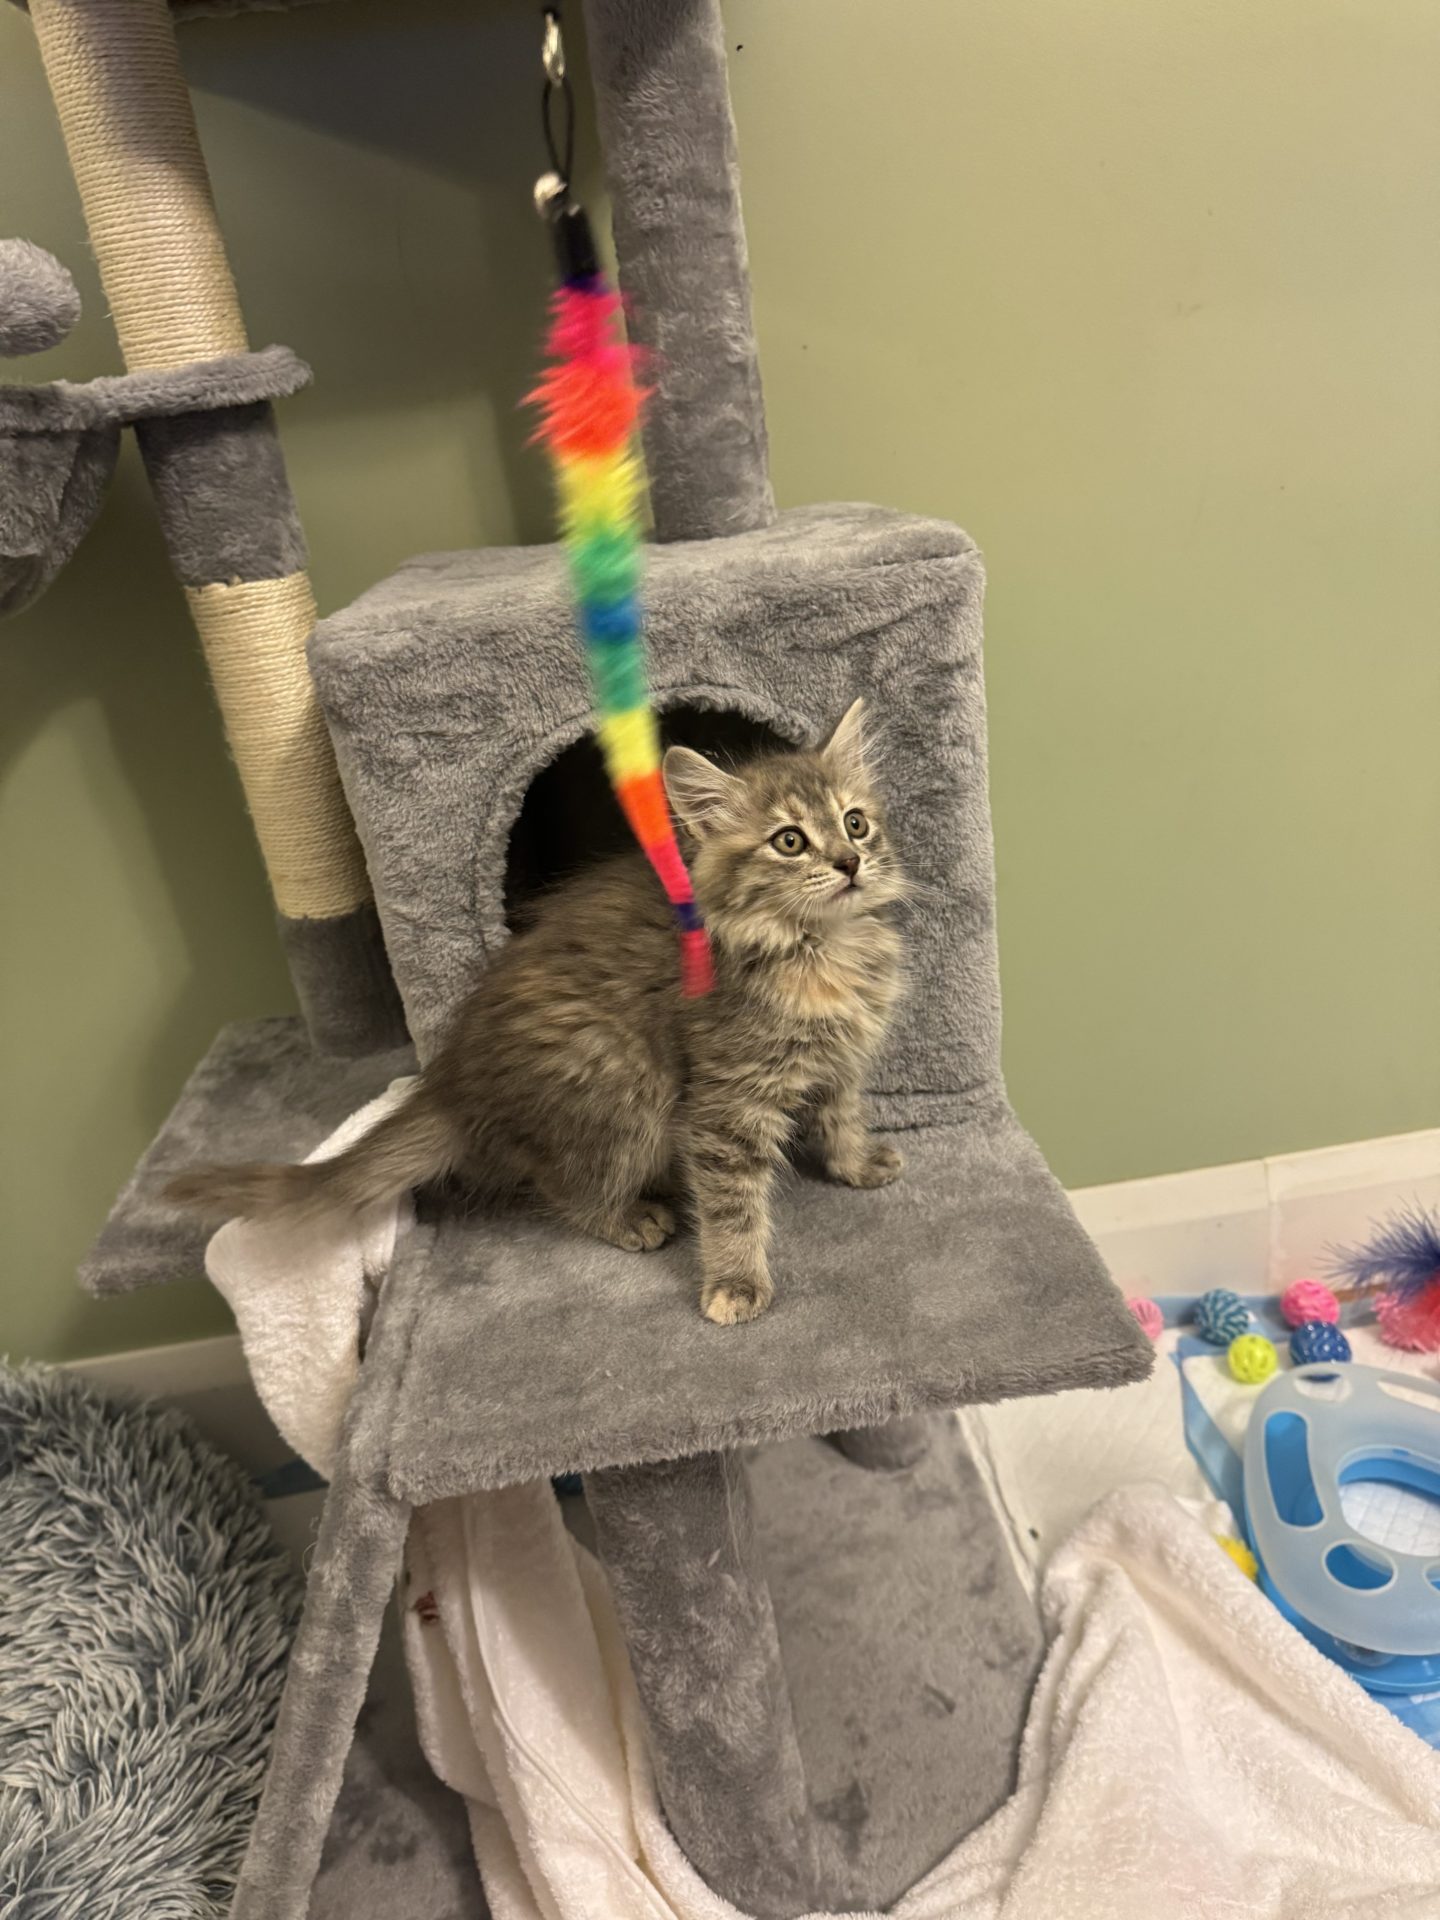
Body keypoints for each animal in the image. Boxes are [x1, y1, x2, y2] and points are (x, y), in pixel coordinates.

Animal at [167, 699, 906, 1325]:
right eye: (789, 841)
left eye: (855, 822)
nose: (849, 862)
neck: (822, 949)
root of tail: (453, 1085)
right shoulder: (725, 1103)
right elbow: (732, 1204)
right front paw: (735, 1283)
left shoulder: (841, 1061)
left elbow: (841, 1117)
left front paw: (856, 1165)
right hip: (622, 1083)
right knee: (558, 1185)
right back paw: (631, 1217)